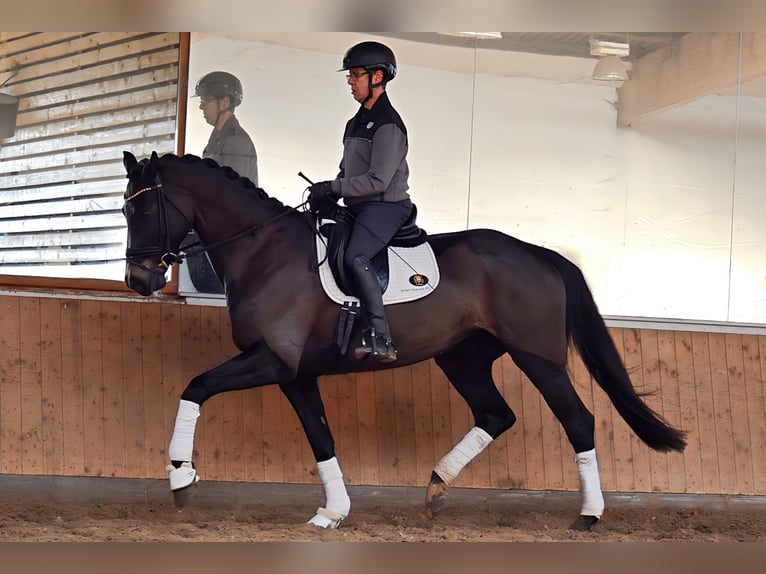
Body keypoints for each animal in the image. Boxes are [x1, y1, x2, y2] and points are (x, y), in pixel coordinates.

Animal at [121, 150, 686, 531]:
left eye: (143, 212)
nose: (139, 282)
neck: (264, 252)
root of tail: (539, 253)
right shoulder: (296, 373)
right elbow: (321, 437)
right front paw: (333, 512)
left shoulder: (273, 362)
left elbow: (195, 387)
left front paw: (180, 477)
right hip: (462, 359)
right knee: (495, 415)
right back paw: (436, 487)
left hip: (538, 358)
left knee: (578, 420)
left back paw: (589, 514)